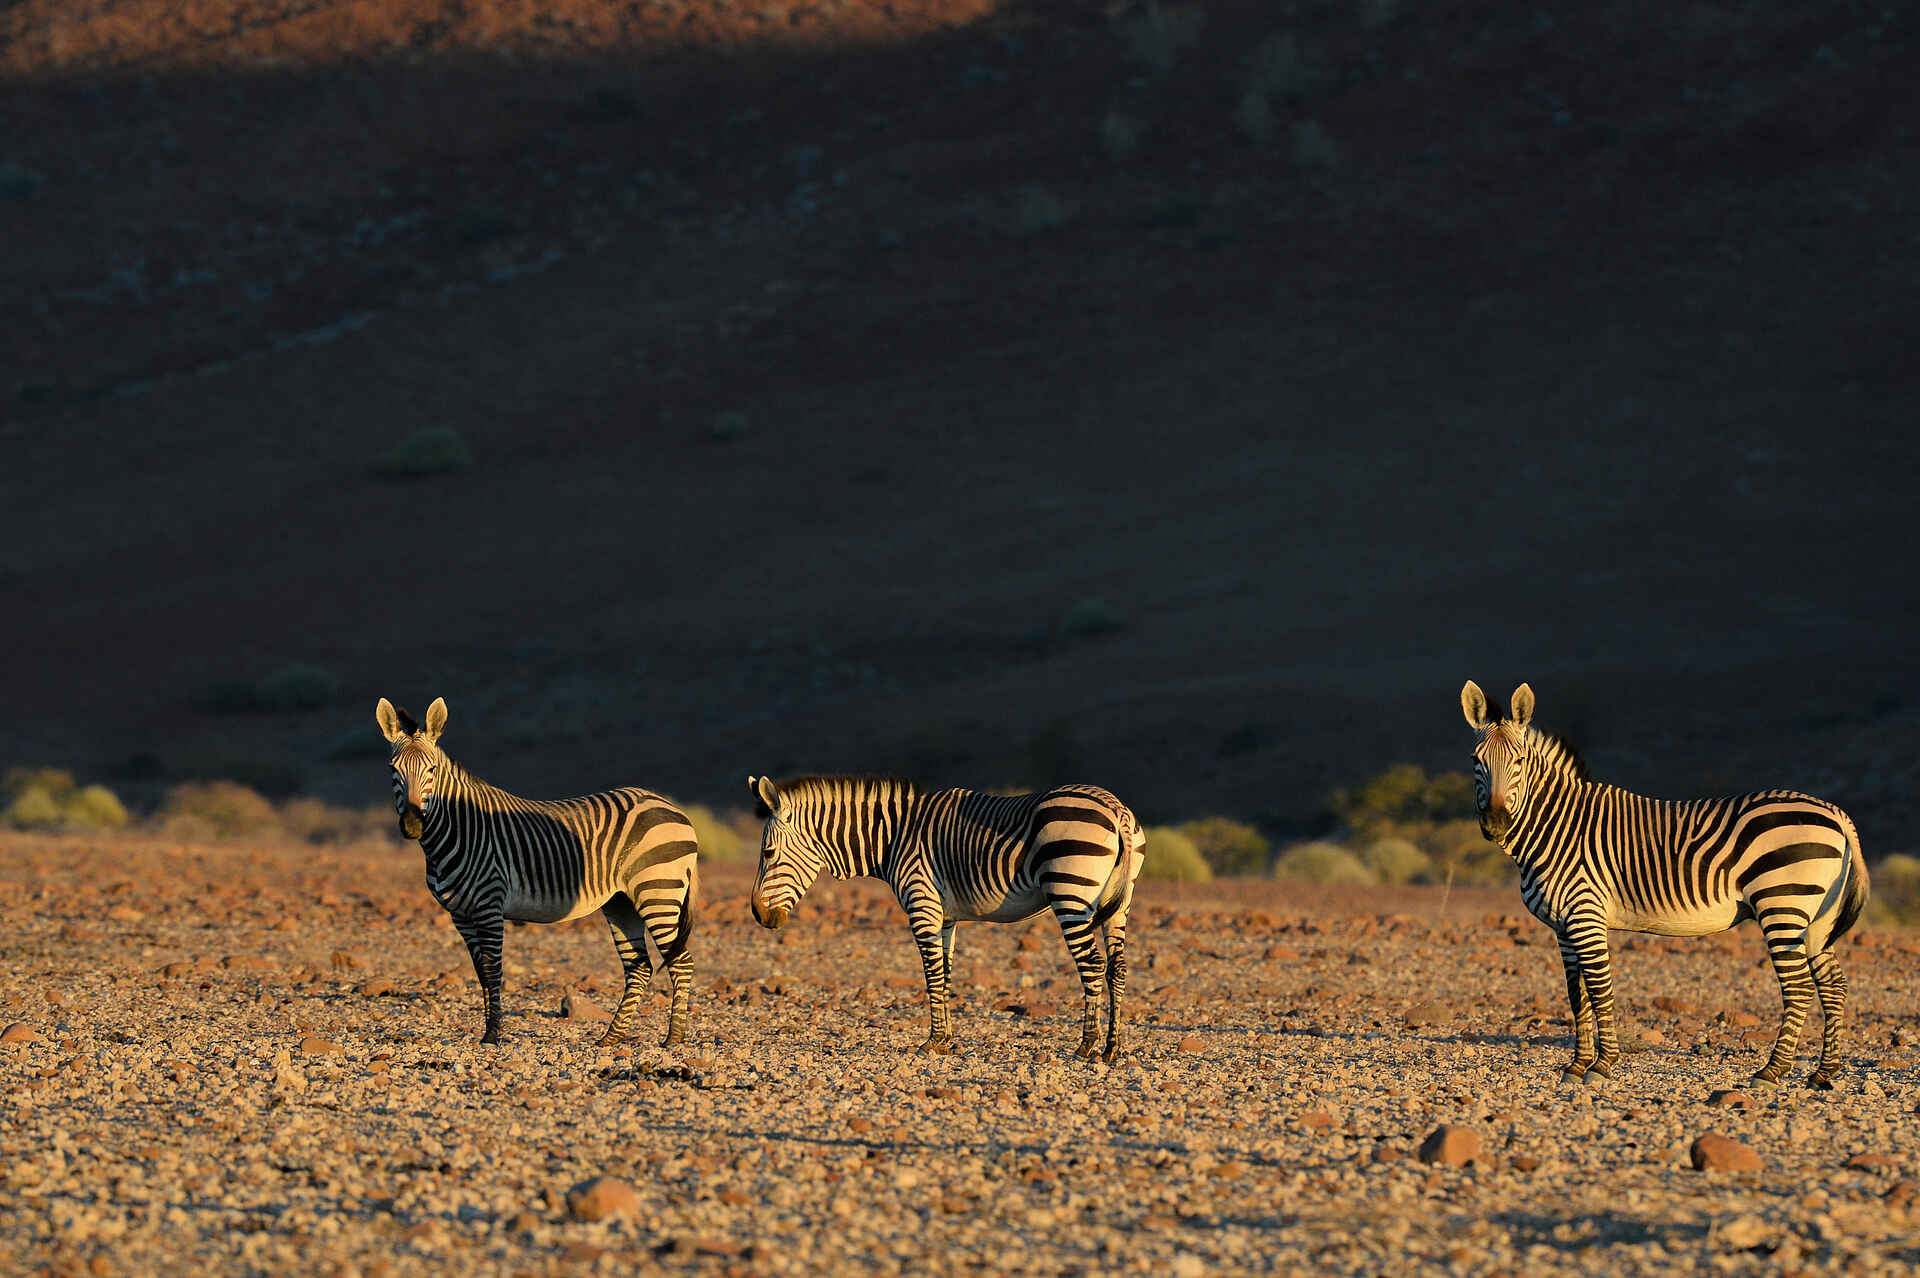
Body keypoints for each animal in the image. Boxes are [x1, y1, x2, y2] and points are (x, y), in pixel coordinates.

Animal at [376, 697, 698, 1047]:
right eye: (392, 770)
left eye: (432, 770)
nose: (412, 824)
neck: (460, 828)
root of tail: (672, 807)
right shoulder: (460, 914)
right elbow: (480, 972)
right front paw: (488, 1030)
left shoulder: (490, 903)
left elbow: (493, 970)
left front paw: (493, 1033)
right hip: (621, 902)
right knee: (638, 968)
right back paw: (611, 1037)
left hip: (658, 890)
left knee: (681, 961)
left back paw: (674, 1037)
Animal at [745, 774, 1146, 1061]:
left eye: (767, 853)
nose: (759, 915)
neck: (893, 837)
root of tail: (1117, 811)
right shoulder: (947, 917)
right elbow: (947, 973)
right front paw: (948, 1039)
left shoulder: (921, 904)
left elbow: (931, 974)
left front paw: (934, 1041)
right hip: (1120, 902)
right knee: (1117, 967)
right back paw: (1112, 1048)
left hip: (1070, 892)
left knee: (1092, 965)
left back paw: (1086, 1045)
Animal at [1460, 680, 1869, 1089]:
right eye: (1476, 760)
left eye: (1519, 762)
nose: (1495, 824)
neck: (1557, 826)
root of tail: (1836, 812)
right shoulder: (1563, 926)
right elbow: (1577, 995)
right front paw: (1577, 1065)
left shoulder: (1585, 915)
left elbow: (1600, 990)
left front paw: (1602, 1065)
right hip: (1816, 918)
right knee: (1833, 984)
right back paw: (1823, 1072)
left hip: (1782, 904)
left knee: (1798, 988)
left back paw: (1772, 1071)